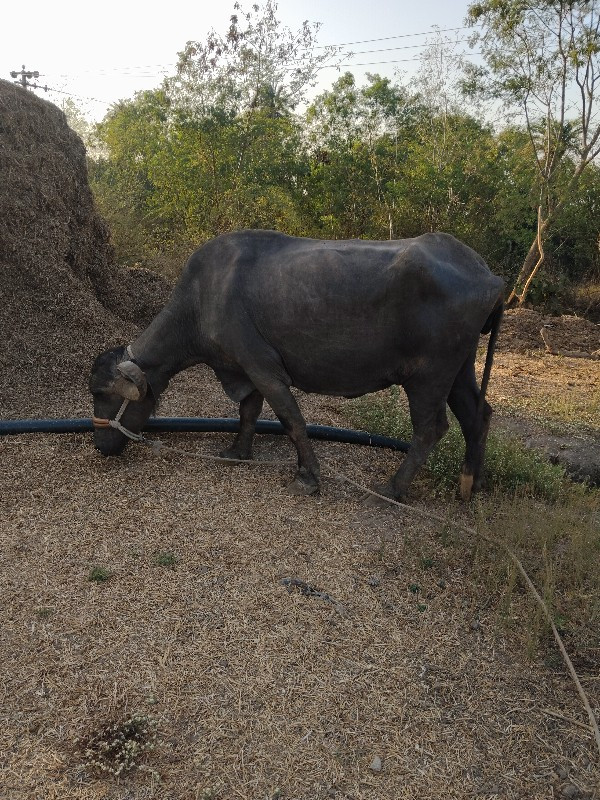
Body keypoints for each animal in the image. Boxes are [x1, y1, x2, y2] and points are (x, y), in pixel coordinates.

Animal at [88, 228, 502, 500]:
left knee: (431, 428)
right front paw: (239, 451)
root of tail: (487, 274)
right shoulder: (243, 368)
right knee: (478, 414)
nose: (99, 445)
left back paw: (393, 488)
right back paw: (471, 482)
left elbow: (292, 421)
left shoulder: (264, 369)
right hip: (459, 369)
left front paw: (308, 476)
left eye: (102, 394)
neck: (203, 298)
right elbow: (248, 411)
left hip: (428, 375)